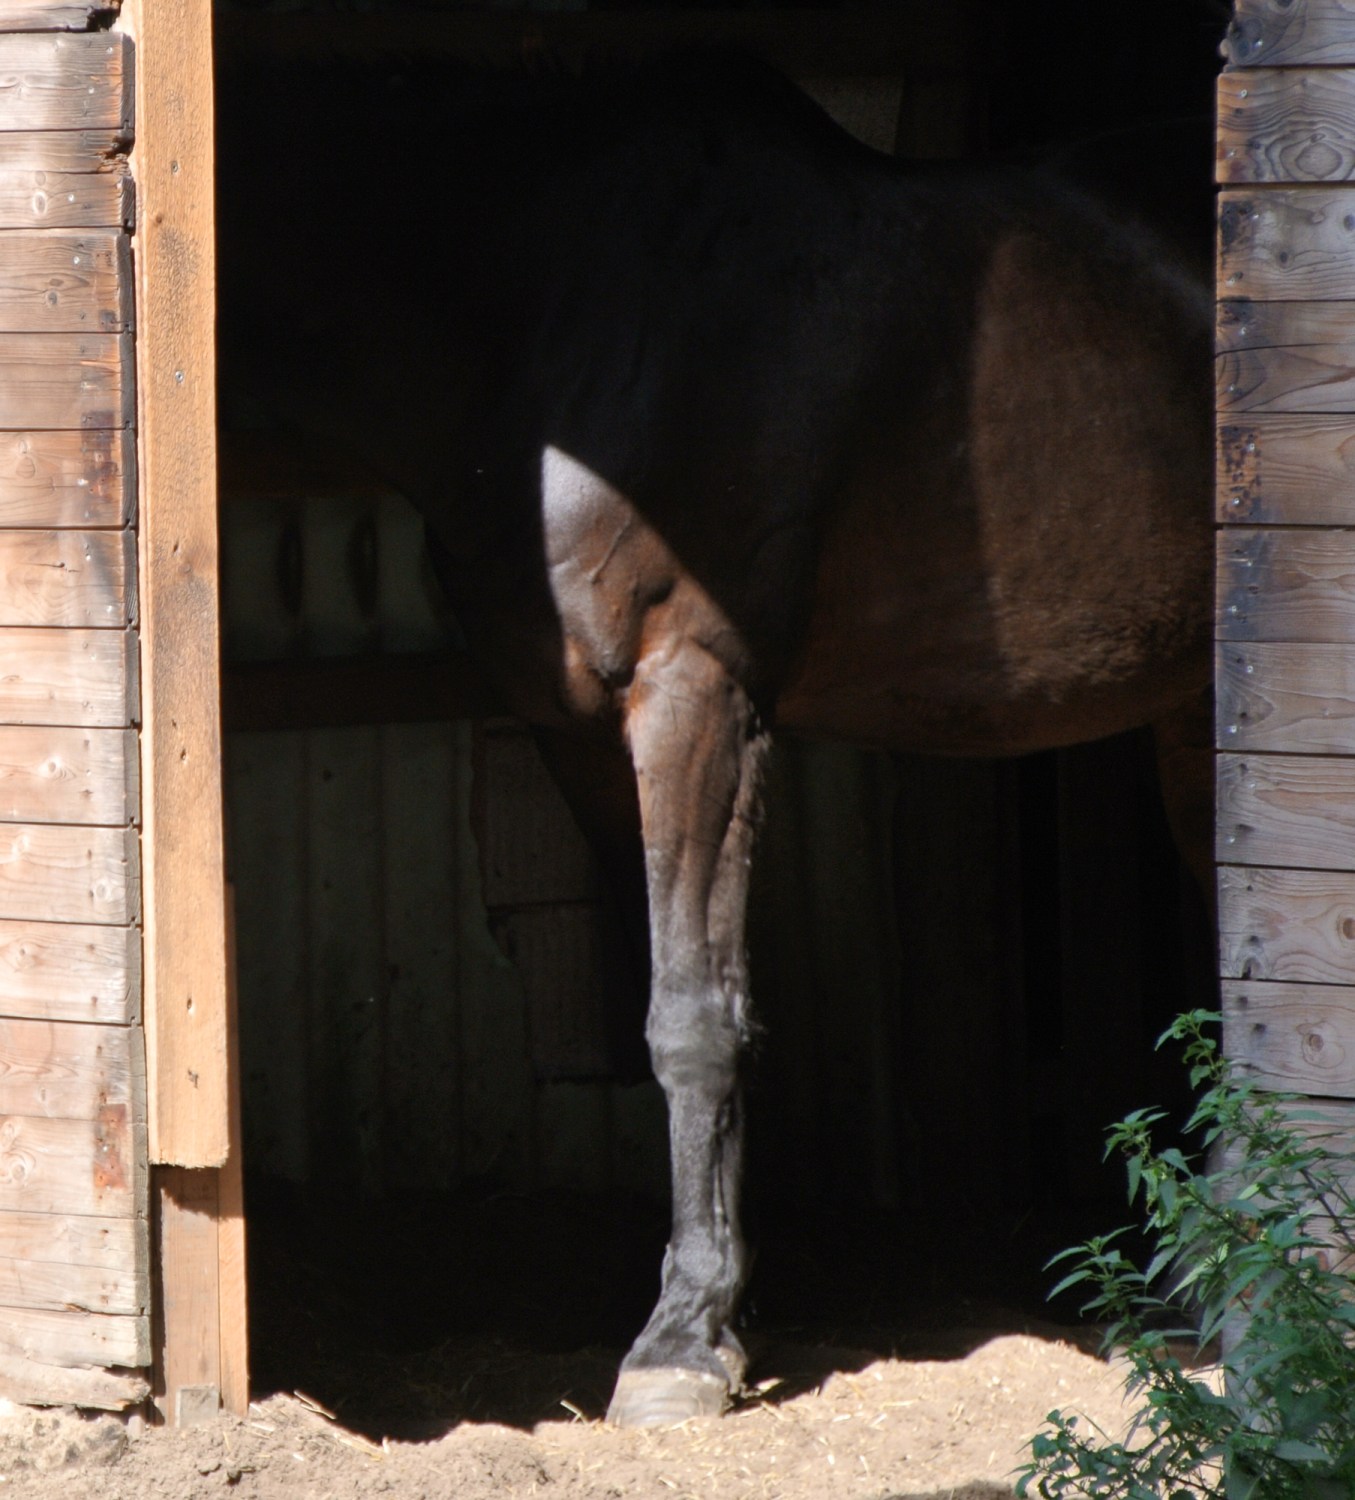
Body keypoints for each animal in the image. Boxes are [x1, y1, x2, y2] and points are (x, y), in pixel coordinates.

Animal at [215, 46, 1214, 1426]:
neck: (544, 294)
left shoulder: (695, 696)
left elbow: (689, 1017)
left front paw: (678, 1345)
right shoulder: (579, 732)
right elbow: (677, 1008)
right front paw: (729, 1308)